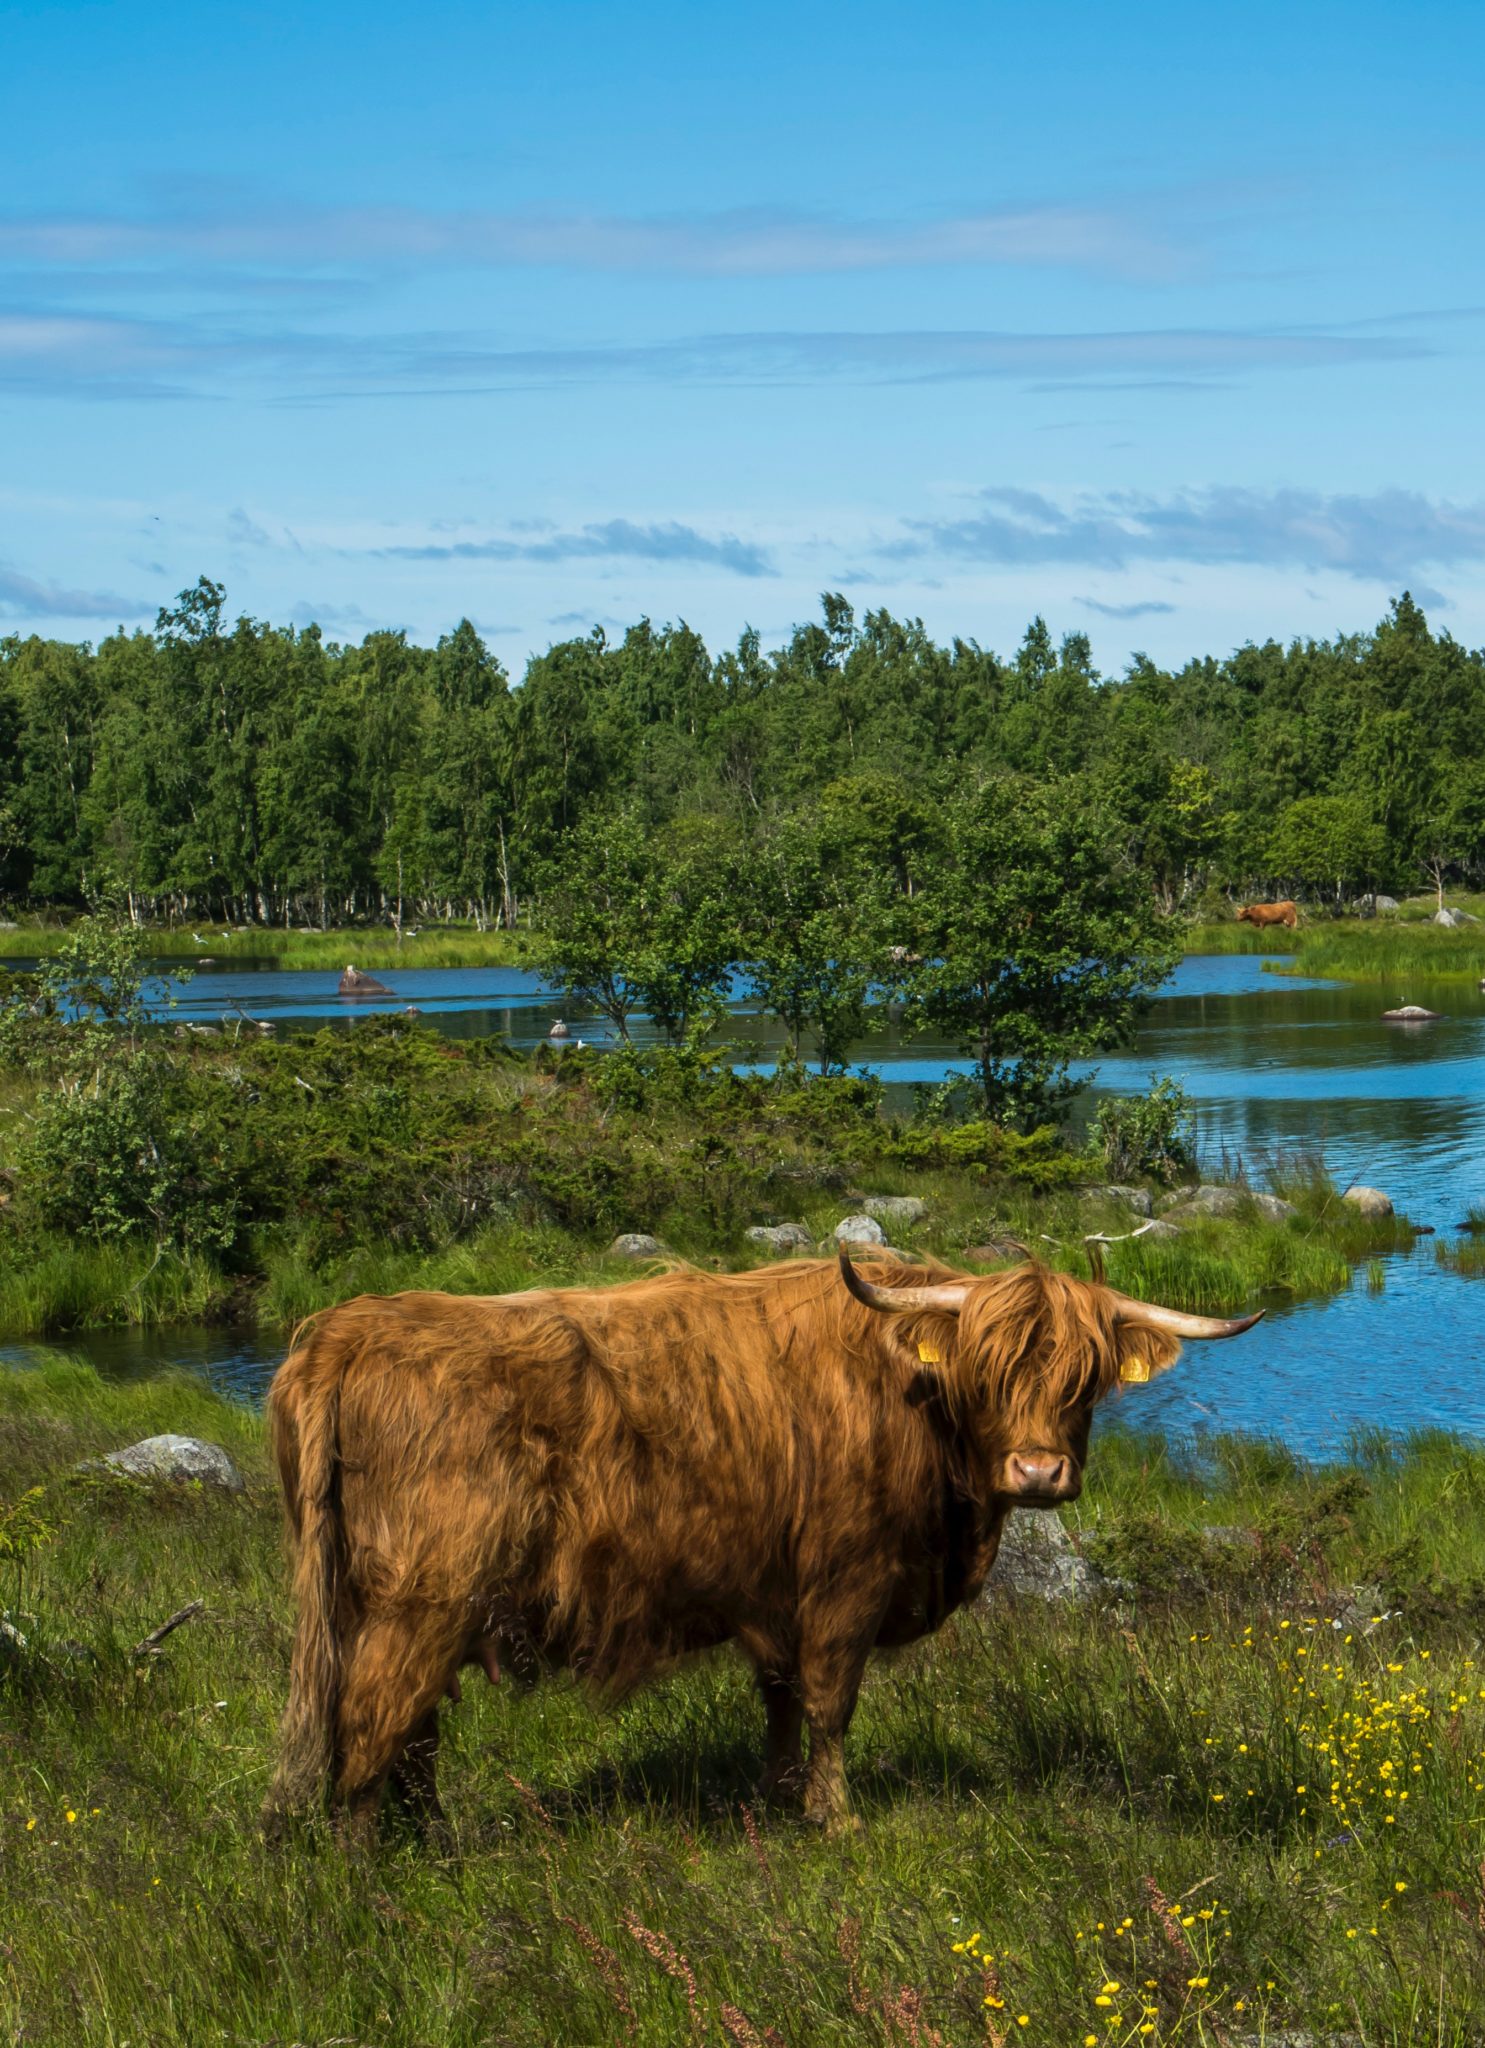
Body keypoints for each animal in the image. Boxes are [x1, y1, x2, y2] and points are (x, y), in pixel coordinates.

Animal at [261, 1245, 1253, 1843]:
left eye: (1085, 1378)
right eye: (986, 1372)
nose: (1039, 1472)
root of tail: (345, 1331)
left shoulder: (776, 1592)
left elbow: (779, 1698)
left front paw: (777, 1800)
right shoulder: (846, 1580)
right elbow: (828, 1703)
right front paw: (836, 1819)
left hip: (382, 1601)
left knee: (410, 1731)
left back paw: (429, 1842)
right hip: (424, 1596)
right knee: (373, 1724)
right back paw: (370, 1866)